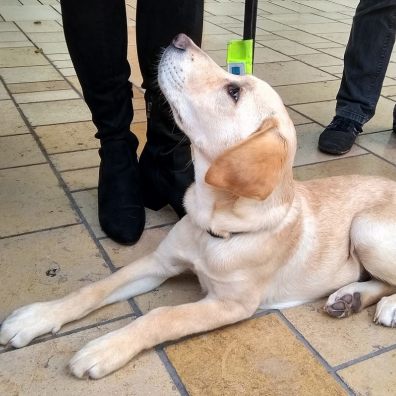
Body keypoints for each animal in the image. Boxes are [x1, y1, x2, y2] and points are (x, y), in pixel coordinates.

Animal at [0, 34, 396, 378]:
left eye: (233, 91)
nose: (180, 38)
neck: (215, 225)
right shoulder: (159, 262)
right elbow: (94, 288)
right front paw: (37, 317)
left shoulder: (230, 304)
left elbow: (161, 316)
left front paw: (105, 347)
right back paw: (349, 297)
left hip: (365, 230)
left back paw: (380, 305)